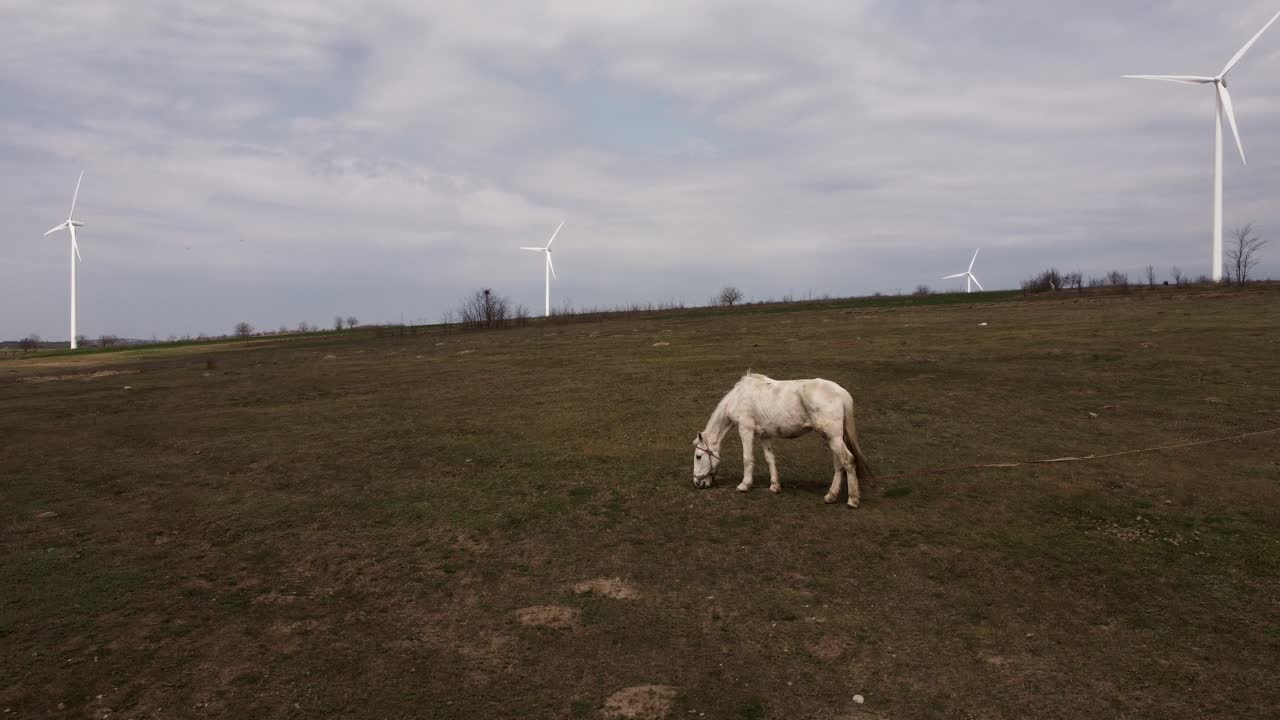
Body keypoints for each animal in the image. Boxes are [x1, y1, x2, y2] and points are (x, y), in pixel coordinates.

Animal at [692, 373, 873, 508]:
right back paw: (831, 496)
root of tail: (841, 392)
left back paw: (852, 500)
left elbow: (747, 459)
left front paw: (744, 485)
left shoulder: (745, 430)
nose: (697, 483)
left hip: (833, 438)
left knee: (848, 461)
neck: (738, 397)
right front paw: (774, 486)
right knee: (839, 464)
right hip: (833, 438)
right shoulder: (764, 435)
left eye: (698, 457)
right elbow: (769, 459)